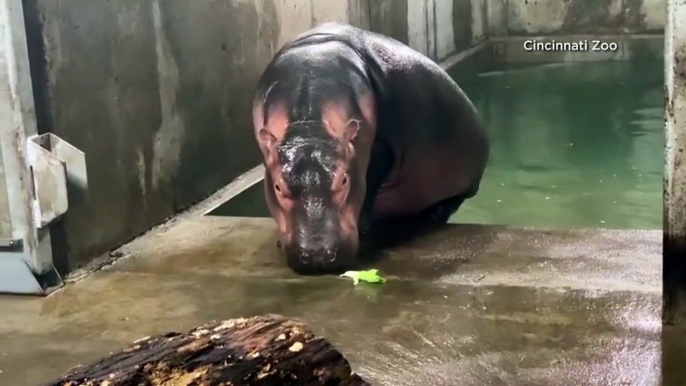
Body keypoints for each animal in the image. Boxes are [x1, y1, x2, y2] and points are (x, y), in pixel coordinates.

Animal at [253, 22, 490, 274]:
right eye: (277, 186)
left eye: (344, 180)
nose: (317, 255)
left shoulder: (381, 148)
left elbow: (370, 184)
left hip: (467, 179)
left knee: (455, 199)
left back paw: (434, 215)